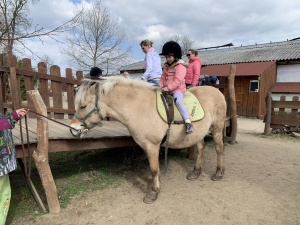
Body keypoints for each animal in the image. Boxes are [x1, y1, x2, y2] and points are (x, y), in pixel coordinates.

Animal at [69, 76, 226, 204]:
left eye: (83, 106)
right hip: (199, 132)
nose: (73, 129)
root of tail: (217, 92)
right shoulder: (145, 146)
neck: (140, 108)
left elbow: (154, 169)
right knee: (201, 148)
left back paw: (218, 173)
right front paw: (154, 186)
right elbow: (153, 169)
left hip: (217, 129)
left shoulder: (152, 145)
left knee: (219, 149)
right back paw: (196, 172)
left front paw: (153, 192)